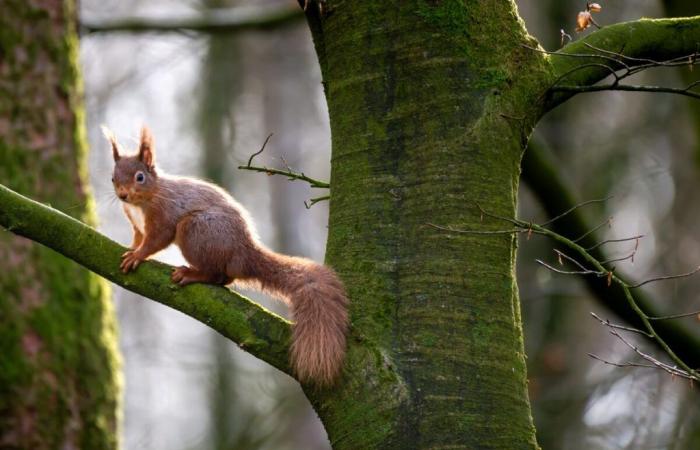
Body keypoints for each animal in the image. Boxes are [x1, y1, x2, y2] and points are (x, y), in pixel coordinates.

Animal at [104, 125, 350, 384]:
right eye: (112, 177)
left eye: (140, 177)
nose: (122, 195)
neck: (145, 199)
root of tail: (244, 253)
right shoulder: (137, 225)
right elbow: (138, 238)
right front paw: (131, 248)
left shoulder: (164, 215)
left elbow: (156, 239)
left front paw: (138, 255)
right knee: (225, 278)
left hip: (195, 231)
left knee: (216, 274)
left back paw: (192, 274)